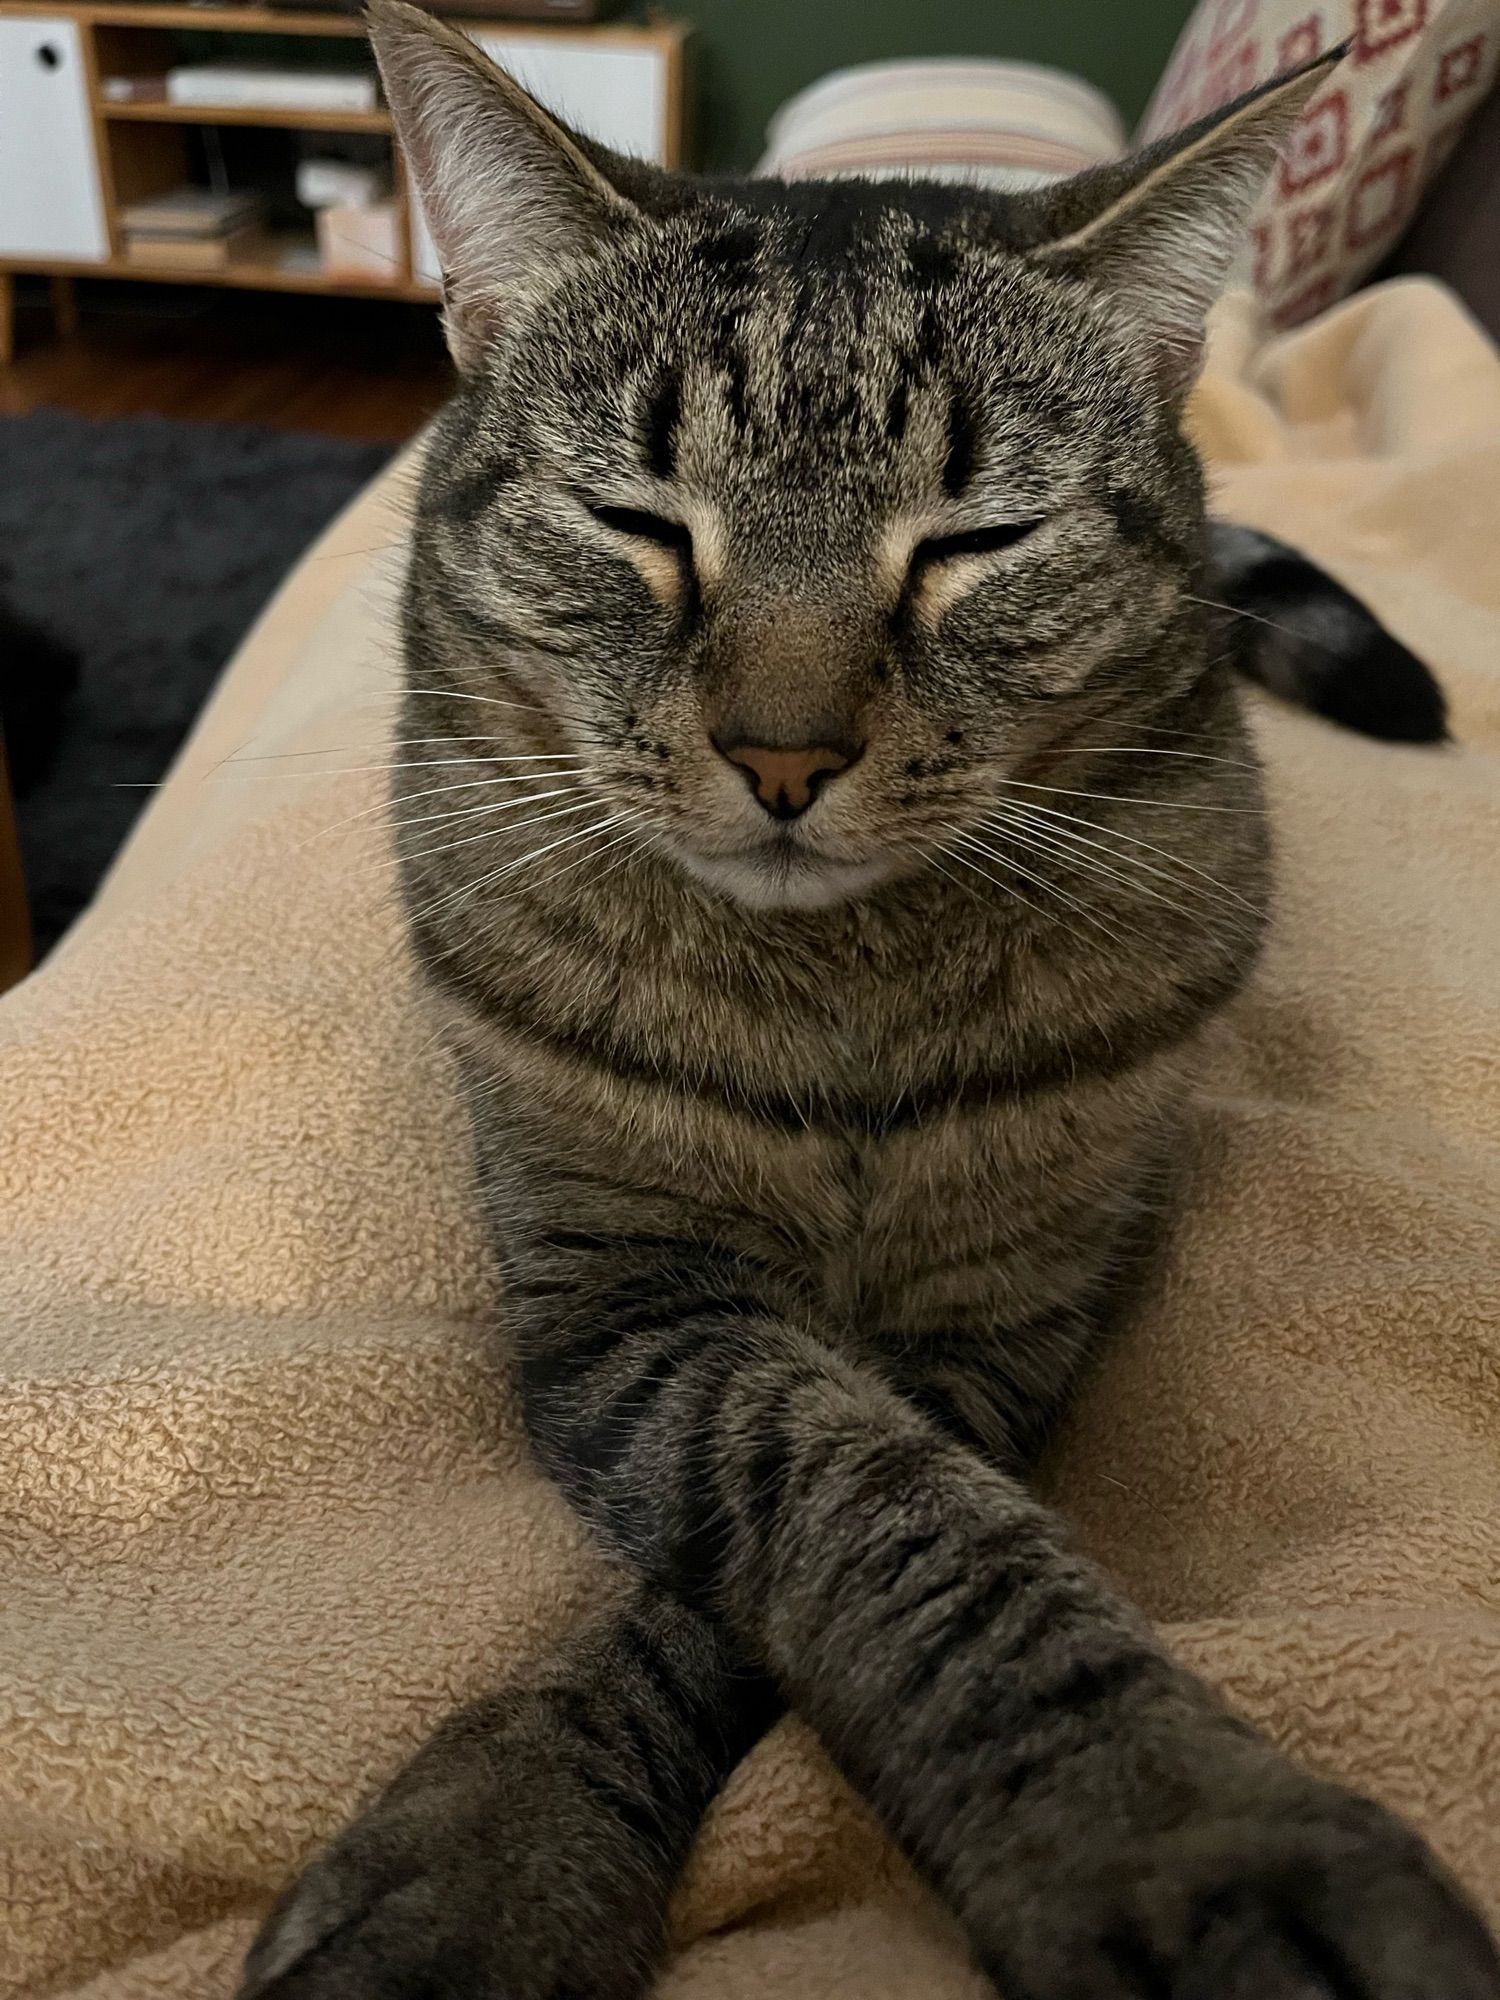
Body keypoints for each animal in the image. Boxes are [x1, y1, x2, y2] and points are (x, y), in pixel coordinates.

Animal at [241, 7, 1496, 1992]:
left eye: (977, 541)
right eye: (637, 523)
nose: (783, 755)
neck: (835, 990)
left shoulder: (998, 1323)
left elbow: (911, 1539)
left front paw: (1182, 1832)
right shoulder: (622, 1292)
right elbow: (834, 1494)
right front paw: (496, 1864)